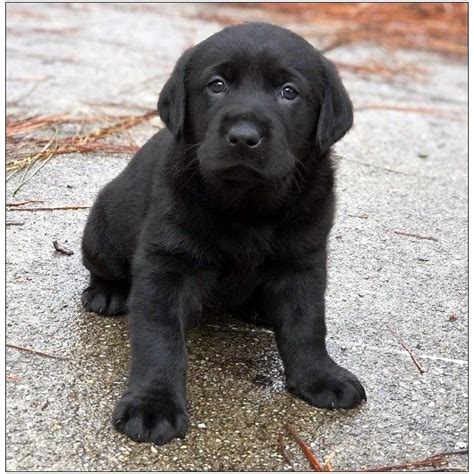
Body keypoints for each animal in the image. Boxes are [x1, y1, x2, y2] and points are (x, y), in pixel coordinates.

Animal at [81, 22, 366, 444]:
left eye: (289, 92)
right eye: (216, 85)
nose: (244, 136)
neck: (247, 206)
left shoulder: (304, 260)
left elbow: (307, 323)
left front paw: (320, 376)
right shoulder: (166, 265)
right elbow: (159, 338)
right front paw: (153, 405)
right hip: (102, 230)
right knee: (104, 268)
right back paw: (108, 293)